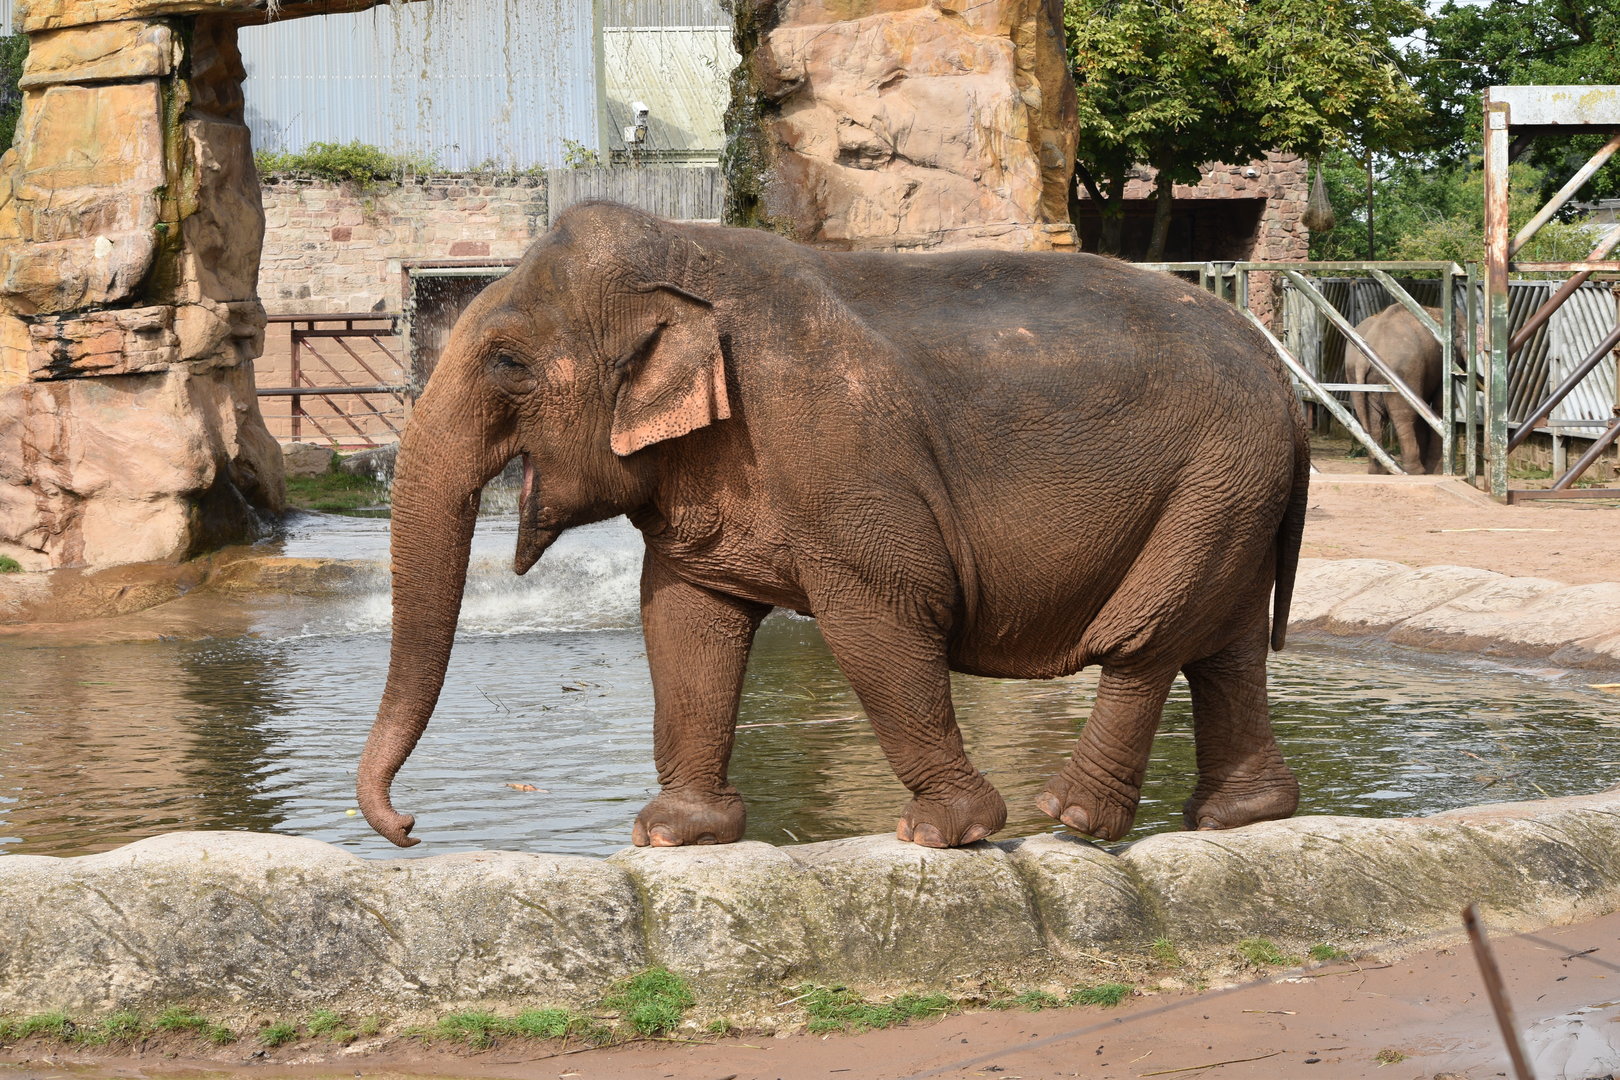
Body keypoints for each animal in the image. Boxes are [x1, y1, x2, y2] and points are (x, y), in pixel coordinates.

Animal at [357, 202, 1311, 851]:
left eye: (507, 363)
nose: (409, 827)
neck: (688, 249)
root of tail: (1280, 372)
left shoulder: (836, 455)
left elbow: (881, 613)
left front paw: (951, 831)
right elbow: (683, 618)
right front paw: (671, 834)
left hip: (1217, 478)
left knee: (1146, 637)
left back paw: (1070, 816)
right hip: (1234, 492)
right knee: (1225, 645)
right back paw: (1241, 814)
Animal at [1345, 303, 1460, 475]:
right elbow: (1438, 406)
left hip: (1355, 375)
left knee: (1373, 418)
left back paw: (1378, 470)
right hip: (1404, 371)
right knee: (1405, 417)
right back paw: (1417, 472)